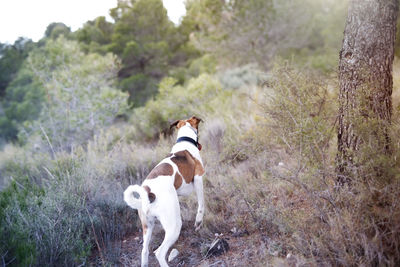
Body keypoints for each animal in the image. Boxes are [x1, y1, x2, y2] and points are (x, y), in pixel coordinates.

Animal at [124, 116, 206, 266]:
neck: (185, 140)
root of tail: (148, 192)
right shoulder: (198, 178)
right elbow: (201, 204)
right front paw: (198, 222)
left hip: (147, 226)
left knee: (144, 251)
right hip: (174, 225)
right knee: (160, 253)